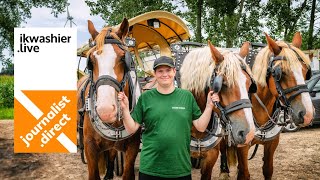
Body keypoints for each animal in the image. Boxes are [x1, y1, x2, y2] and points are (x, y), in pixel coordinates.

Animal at [77, 19, 140, 179]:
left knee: (111, 153)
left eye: (124, 58)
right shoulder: (90, 147)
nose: (105, 111)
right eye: (91, 61)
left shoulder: (133, 147)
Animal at [220, 32, 316, 179]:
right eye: (280, 72)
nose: (308, 115)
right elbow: (244, 173)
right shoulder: (242, 147)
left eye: (306, 72)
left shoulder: (272, 143)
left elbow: (268, 169)